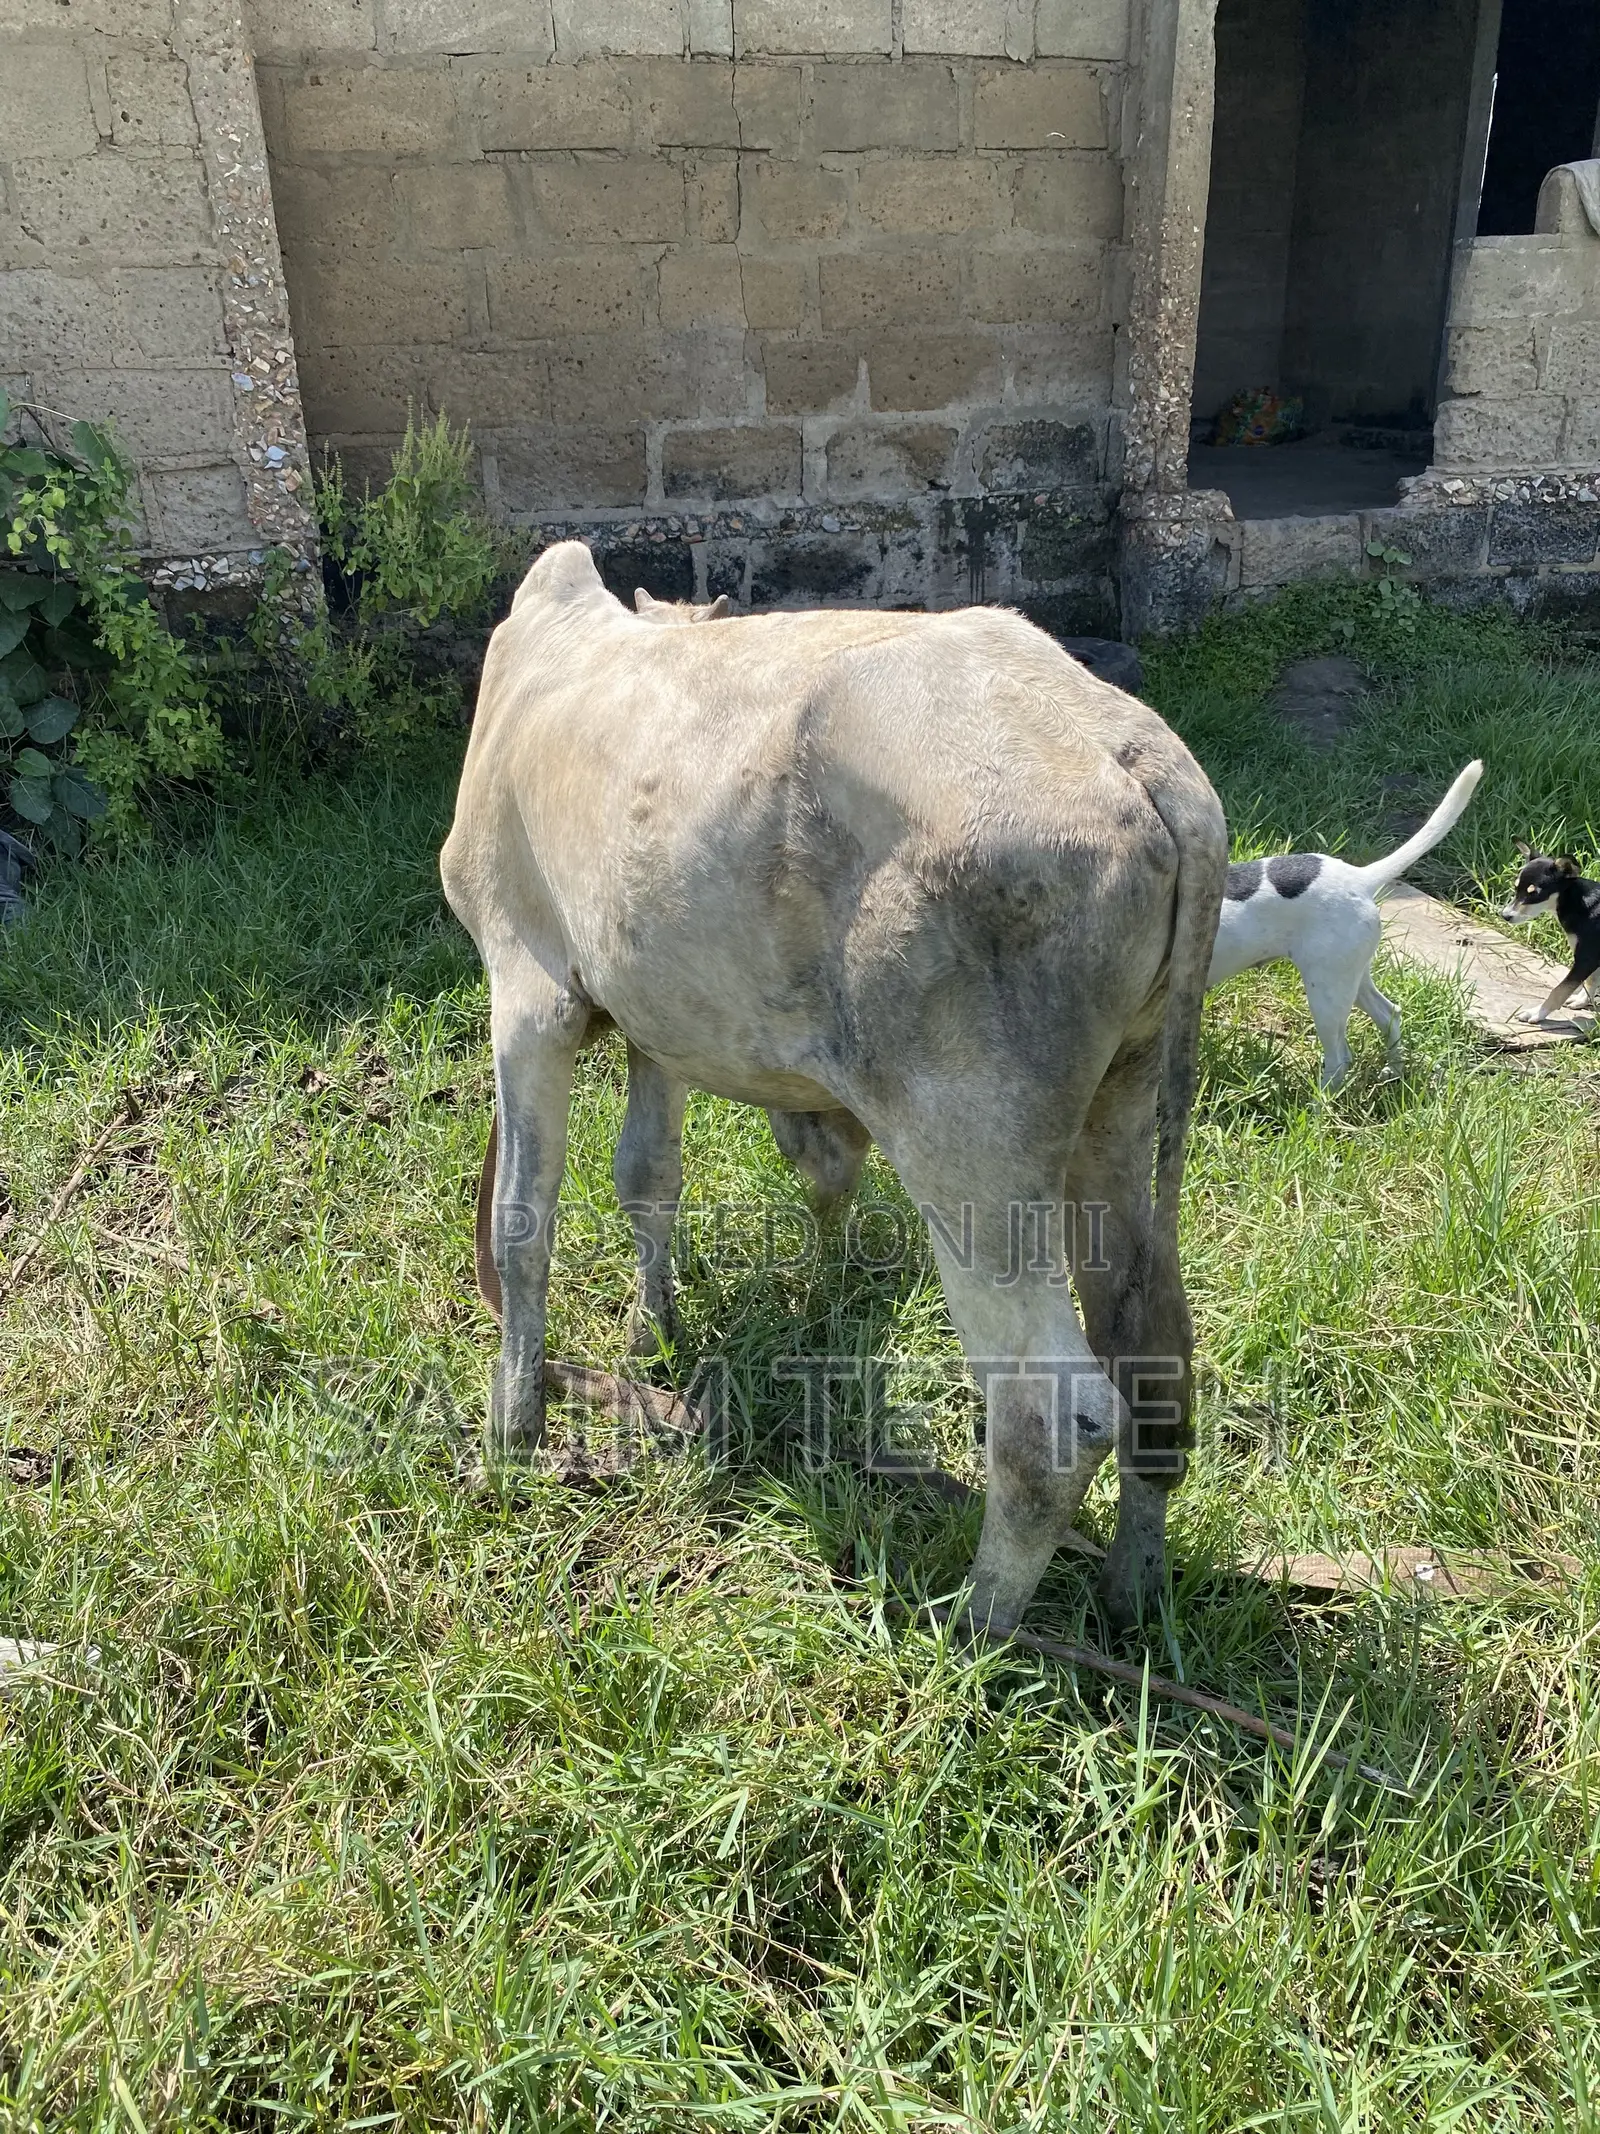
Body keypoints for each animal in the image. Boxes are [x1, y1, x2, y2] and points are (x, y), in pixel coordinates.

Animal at [440, 541, 1227, 1635]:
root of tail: (1138, 754)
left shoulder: (528, 993)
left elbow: (521, 1223)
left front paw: (511, 1433)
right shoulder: (656, 1023)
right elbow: (647, 1176)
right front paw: (653, 1330)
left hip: (967, 1140)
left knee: (1050, 1416)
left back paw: (970, 1631)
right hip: (1128, 1094)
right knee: (1152, 1351)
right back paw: (1128, 1595)